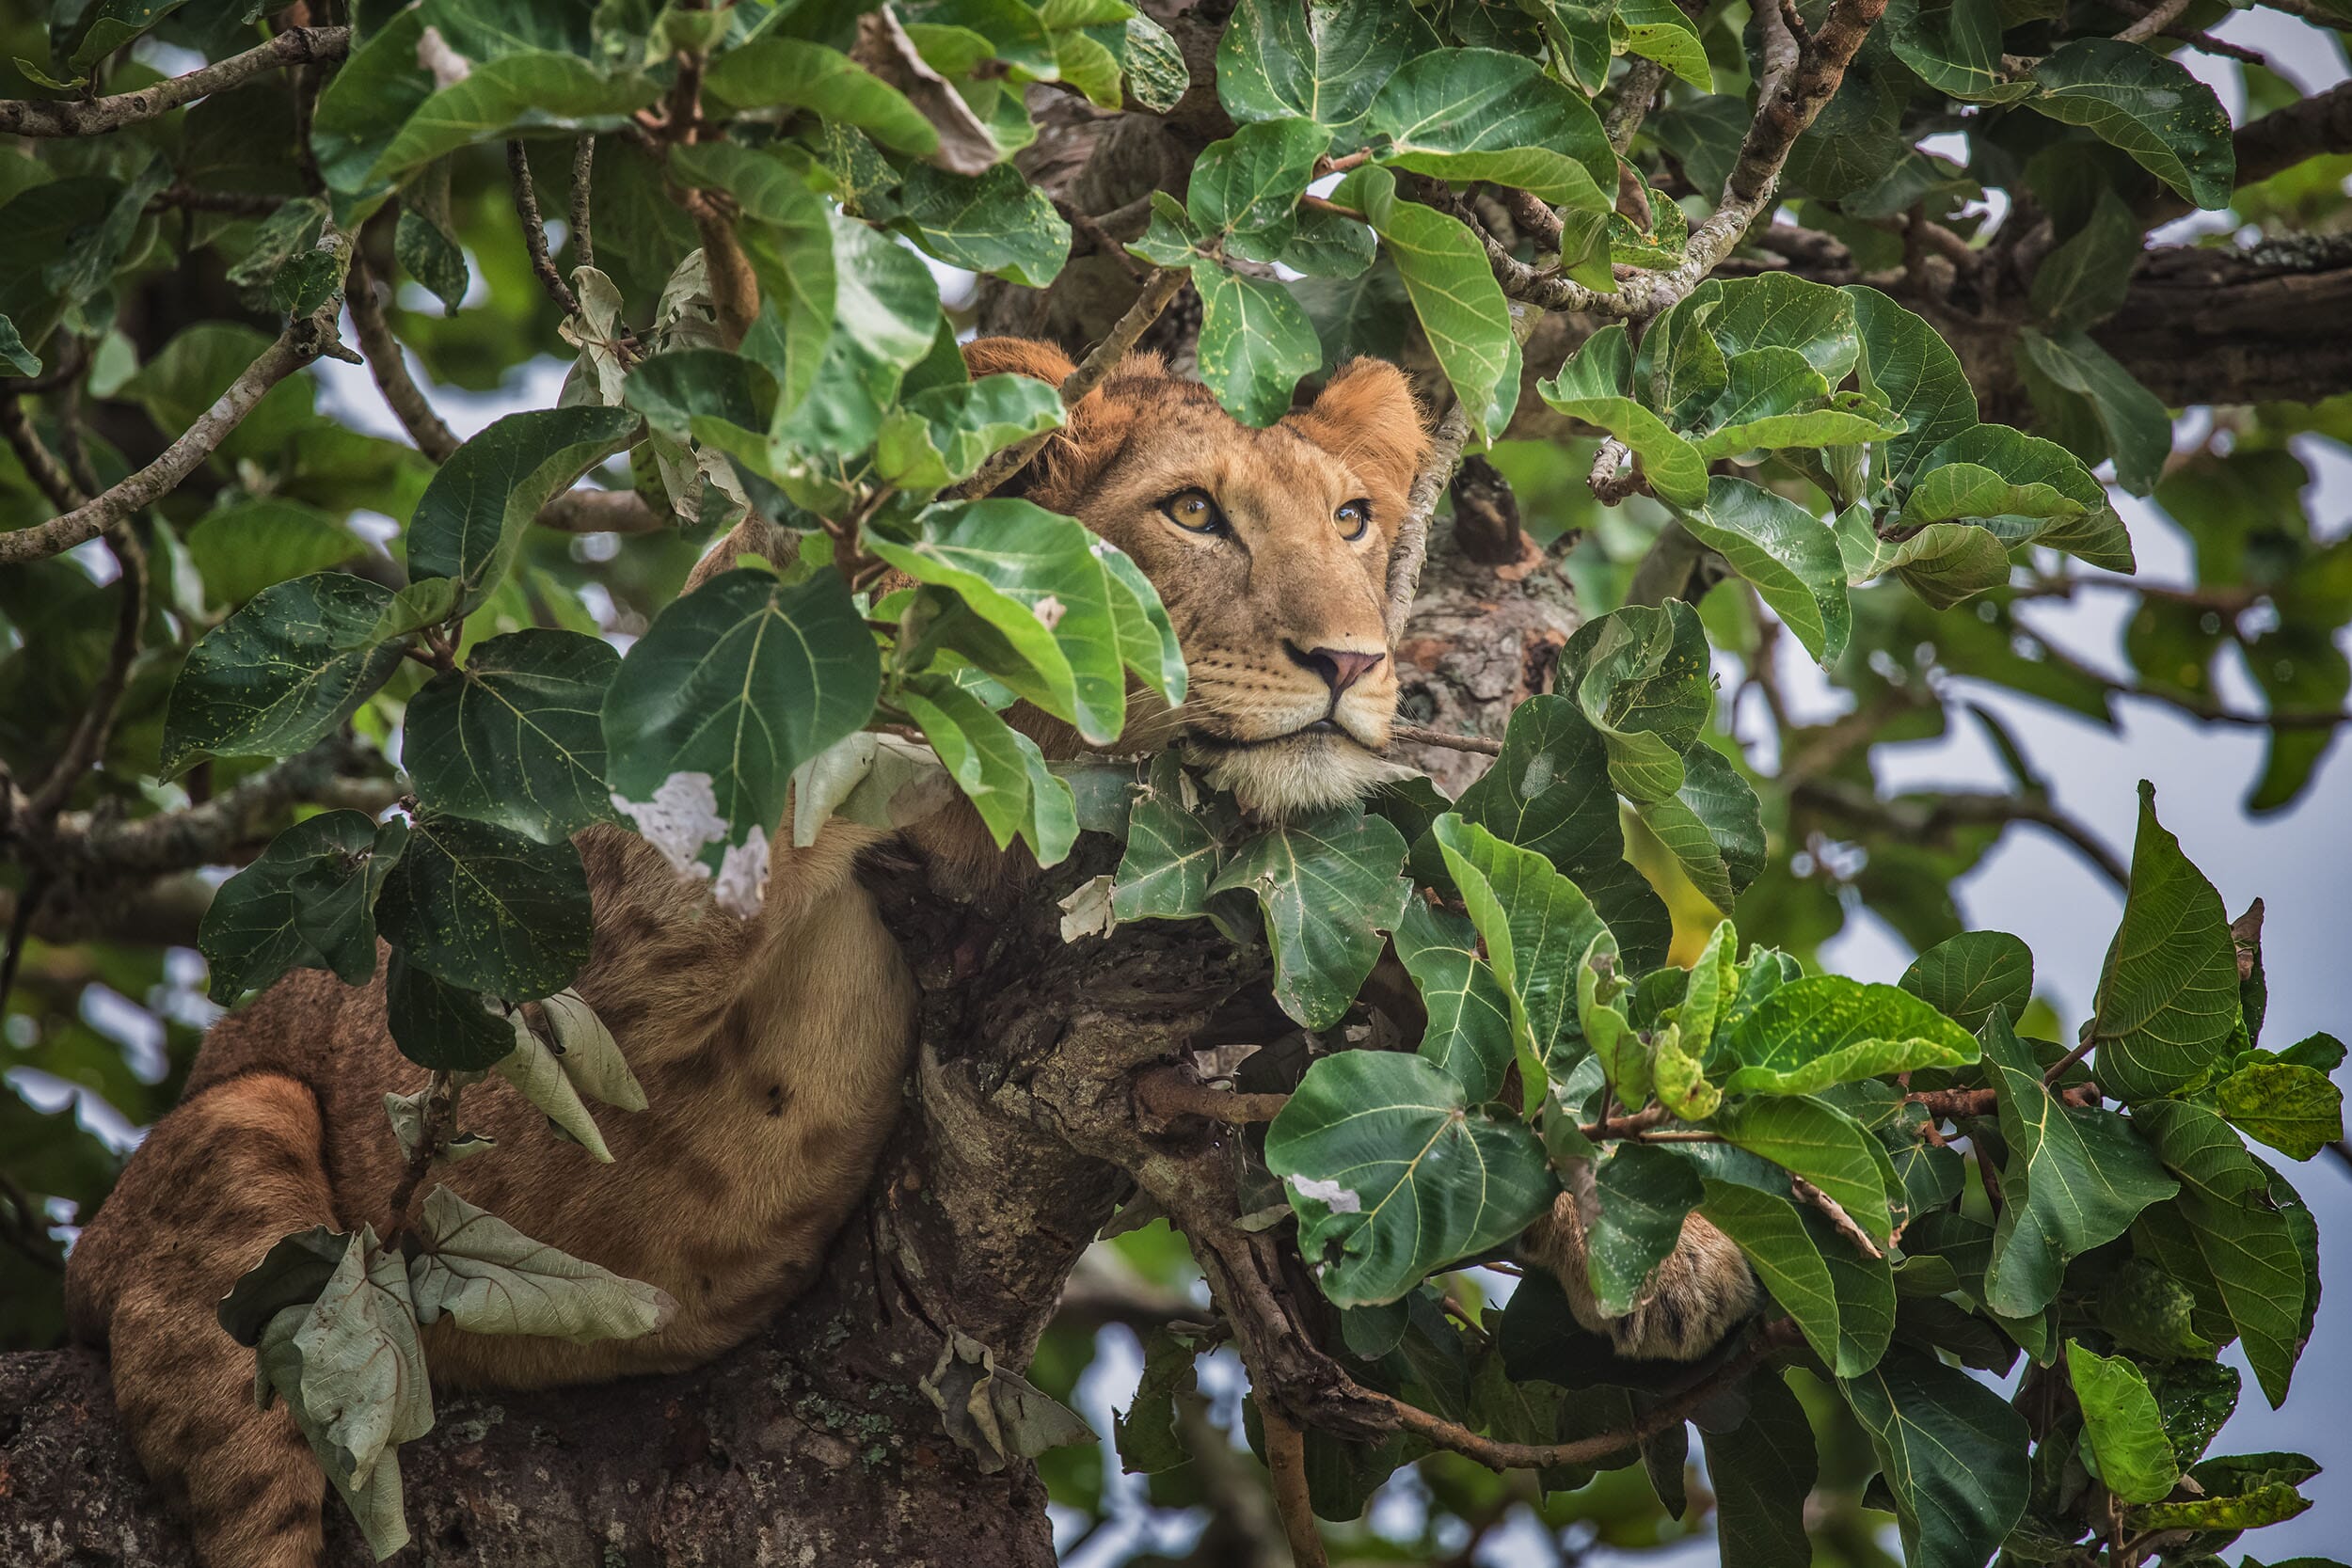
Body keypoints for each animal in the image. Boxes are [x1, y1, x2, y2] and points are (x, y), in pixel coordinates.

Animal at [63, 340, 1754, 1568]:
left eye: (1350, 520)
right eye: (1193, 513)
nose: (1354, 662)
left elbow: (1423, 1053)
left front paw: (1670, 1250)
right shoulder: (572, 997)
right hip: (242, 1150)